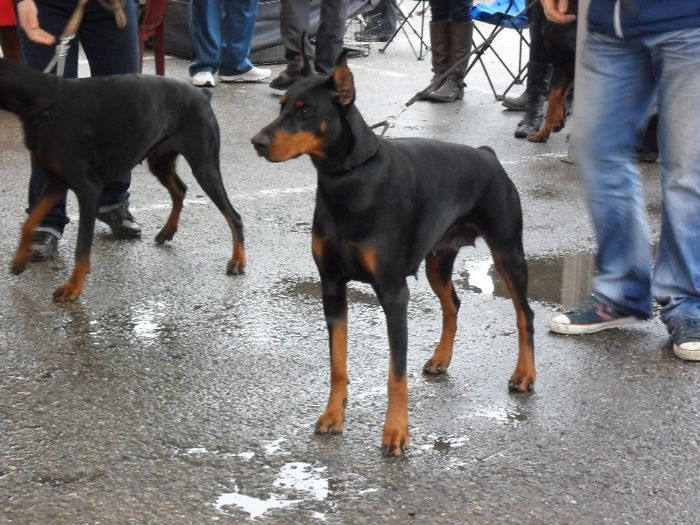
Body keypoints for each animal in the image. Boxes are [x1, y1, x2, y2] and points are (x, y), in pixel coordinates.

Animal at [0, 57, 246, 300]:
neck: (45, 101)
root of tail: (202, 95)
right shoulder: (56, 181)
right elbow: (29, 223)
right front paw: (20, 260)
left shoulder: (87, 189)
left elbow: (82, 245)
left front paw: (73, 287)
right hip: (160, 160)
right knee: (180, 189)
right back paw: (167, 231)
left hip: (204, 167)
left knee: (234, 216)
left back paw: (238, 261)